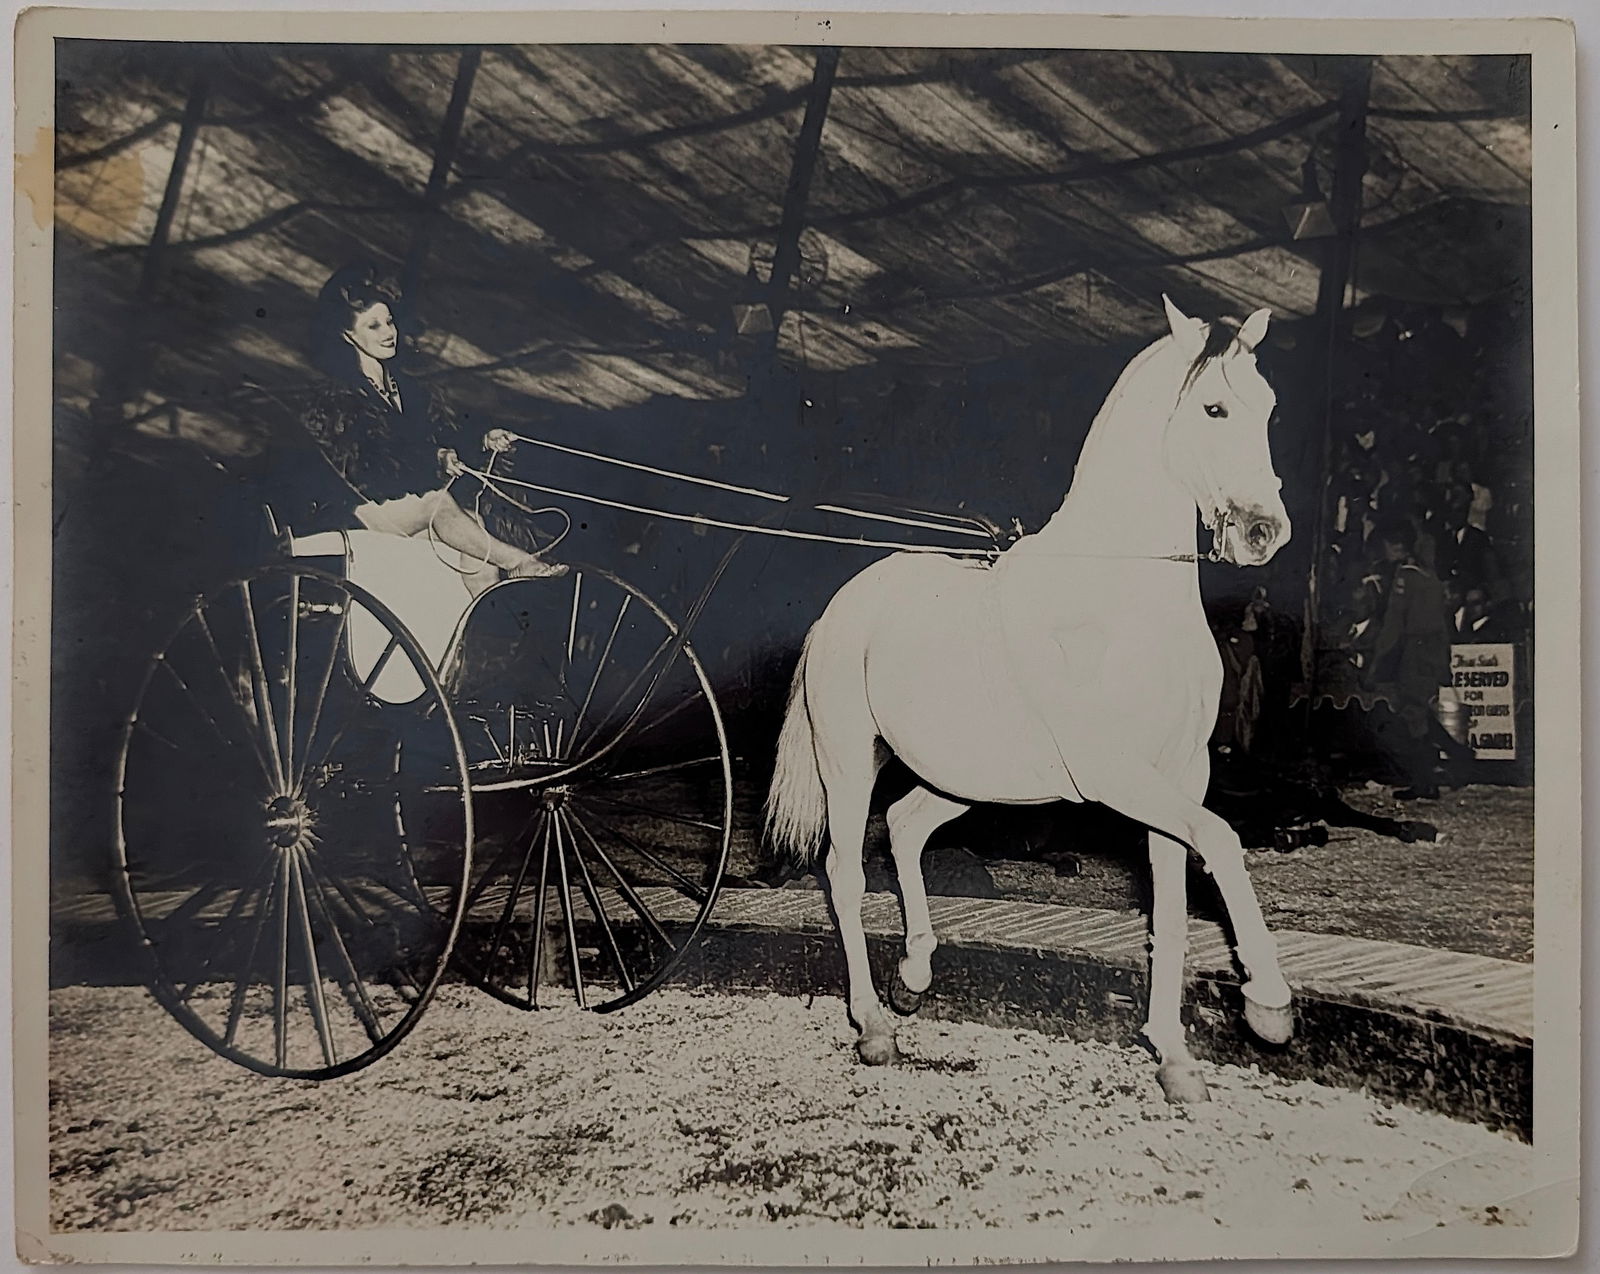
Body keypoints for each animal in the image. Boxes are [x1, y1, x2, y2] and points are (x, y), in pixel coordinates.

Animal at [765, 296, 1294, 1104]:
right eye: (1213, 407)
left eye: (1266, 406)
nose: (1265, 533)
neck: (1123, 598)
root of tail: (841, 609)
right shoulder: (1116, 773)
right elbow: (1225, 842)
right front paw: (1267, 1005)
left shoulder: (1179, 775)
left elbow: (1173, 906)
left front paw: (1174, 1059)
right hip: (849, 764)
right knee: (846, 874)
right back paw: (875, 1027)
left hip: (967, 778)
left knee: (906, 826)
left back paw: (915, 974)